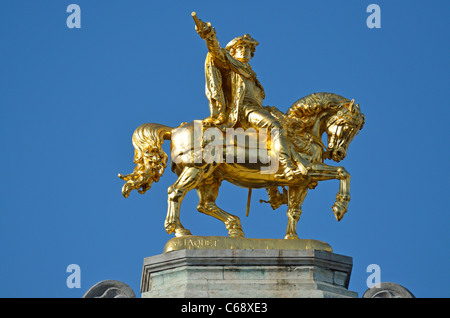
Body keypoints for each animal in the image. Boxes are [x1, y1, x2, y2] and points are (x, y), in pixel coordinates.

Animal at [118, 92, 362, 238]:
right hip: (197, 168)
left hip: (210, 177)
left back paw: (234, 227)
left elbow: (294, 211)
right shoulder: (307, 170)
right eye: (348, 126)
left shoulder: (300, 183)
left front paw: (292, 238)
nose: (338, 153)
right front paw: (340, 207)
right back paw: (179, 230)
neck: (301, 133)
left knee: (205, 205)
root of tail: (174, 129)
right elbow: (344, 173)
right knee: (175, 192)